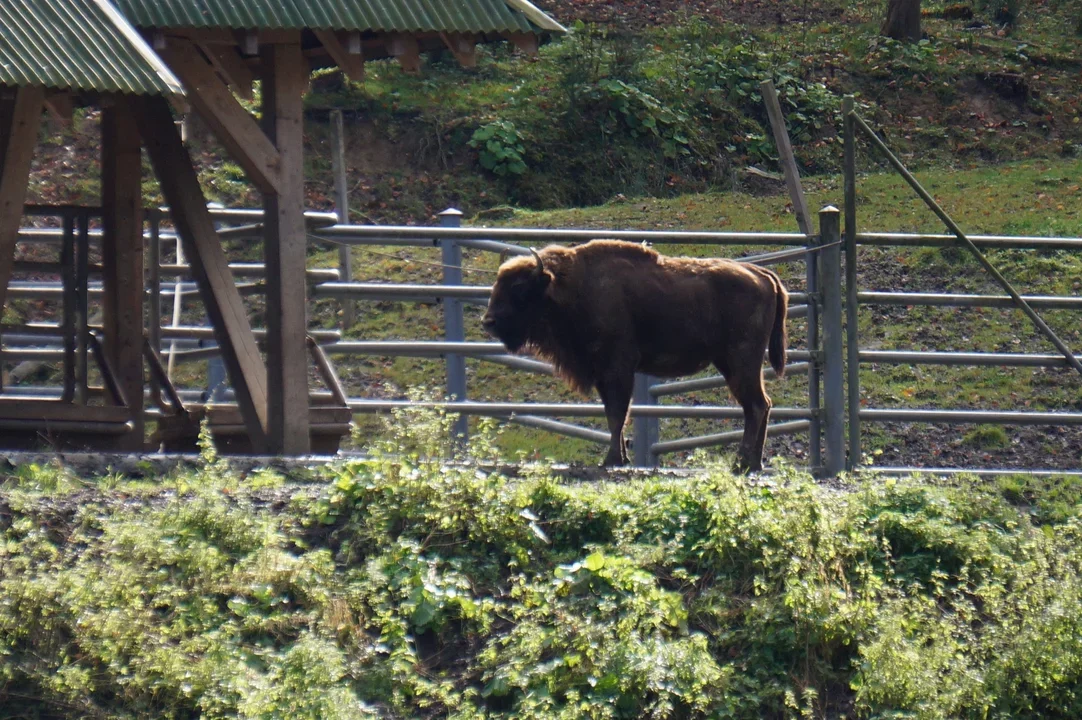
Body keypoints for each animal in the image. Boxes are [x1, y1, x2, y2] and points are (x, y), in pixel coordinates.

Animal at [486, 238, 792, 469]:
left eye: (518, 287)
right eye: (497, 284)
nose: (488, 321)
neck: (568, 286)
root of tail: (762, 275)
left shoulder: (617, 369)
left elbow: (617, 413)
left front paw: (612, 460)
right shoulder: (604, 373)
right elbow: (614, 413)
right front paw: (619, 458)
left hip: (742, 362)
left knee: (757, 405)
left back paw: (742, 463)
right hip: (732, 364)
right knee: (760, 405)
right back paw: (752, 463)